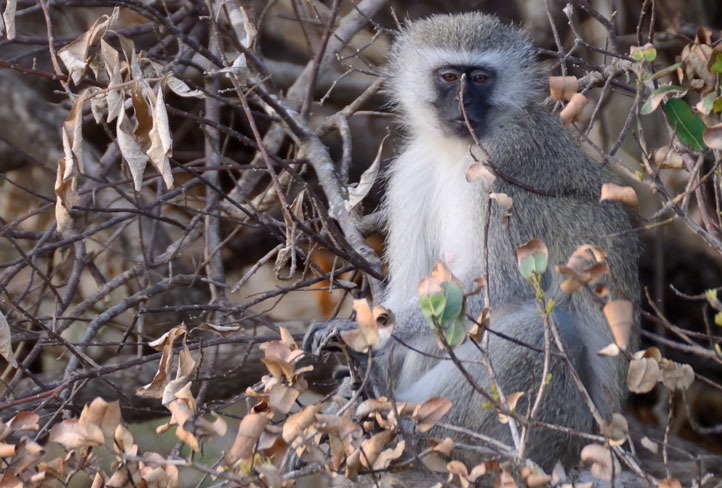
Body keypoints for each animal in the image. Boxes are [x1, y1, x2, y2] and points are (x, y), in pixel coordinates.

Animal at [302, 12, 636, 468]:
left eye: (478, 78)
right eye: (448, 77)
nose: (463, 102)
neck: (454, 151)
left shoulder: (499, 165)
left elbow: (501, 287)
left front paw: (356, 331)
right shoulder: (411, 171)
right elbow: (416, 286)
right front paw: (366, 352)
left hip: (558, 431)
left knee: (542, 330)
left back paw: (397, 412)